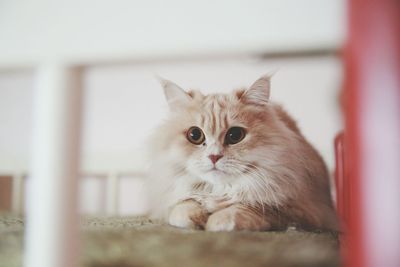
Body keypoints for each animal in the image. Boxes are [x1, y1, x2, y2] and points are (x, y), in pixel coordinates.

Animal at [145, 74, 340, 232]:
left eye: (235, 135)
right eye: (195, 135)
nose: (214, 156)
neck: (220, 191)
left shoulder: (301, 211)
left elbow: (244, 209)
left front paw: (215, 222)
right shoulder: (171, 200)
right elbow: (182, 209)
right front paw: (199, 219)